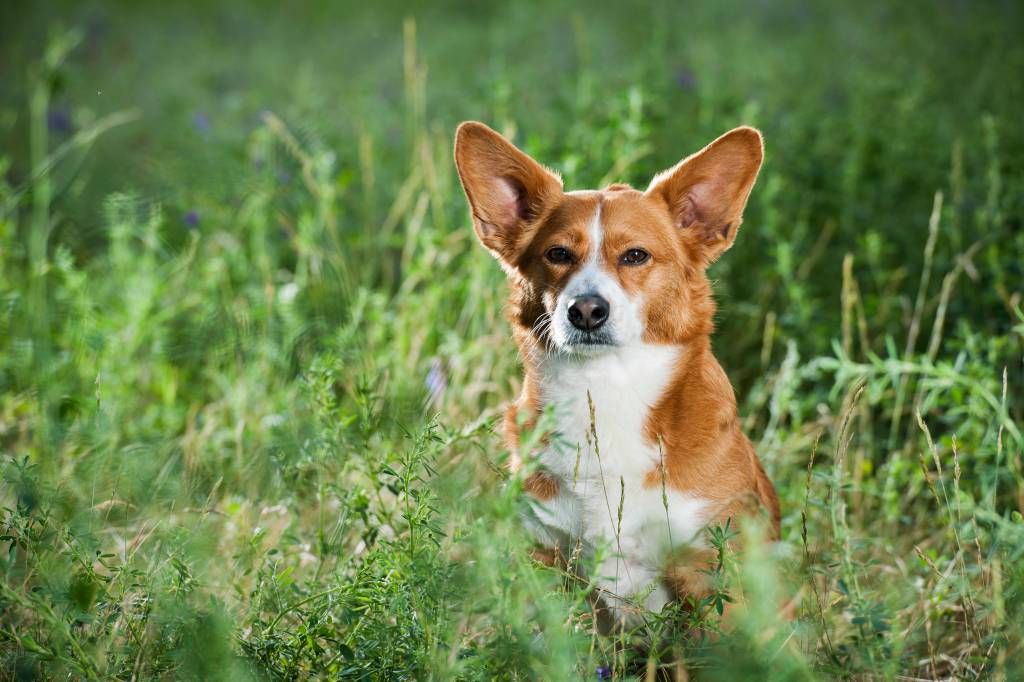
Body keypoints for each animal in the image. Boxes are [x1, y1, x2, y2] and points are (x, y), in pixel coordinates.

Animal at [452, 120, 778, 622]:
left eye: (636, 256)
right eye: (558, 254)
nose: (586, 310)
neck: (605, 387)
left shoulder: (713, 569)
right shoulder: (546, 558)